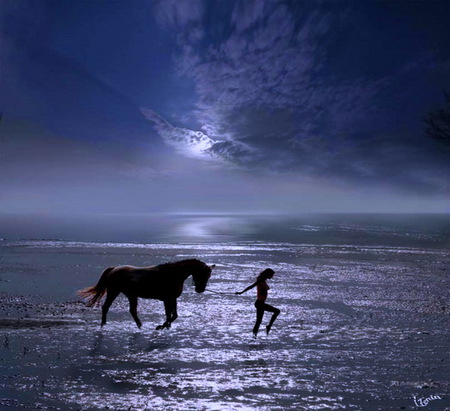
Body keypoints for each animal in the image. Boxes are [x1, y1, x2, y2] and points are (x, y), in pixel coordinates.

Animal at [78, 260, 215, 330]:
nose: (200, 289)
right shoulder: (167, 299)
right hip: (113, 291)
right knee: (106, 307)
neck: (172, 275)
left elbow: (174, 314)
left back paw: (139, 325)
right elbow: (169, 314)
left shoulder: (172, 299)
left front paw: (166, 326)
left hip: (131, 295)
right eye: (203, 274)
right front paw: (162, 326)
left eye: (209, 275)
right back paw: (103, 325)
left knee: (132, 310)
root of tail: (114, 269)